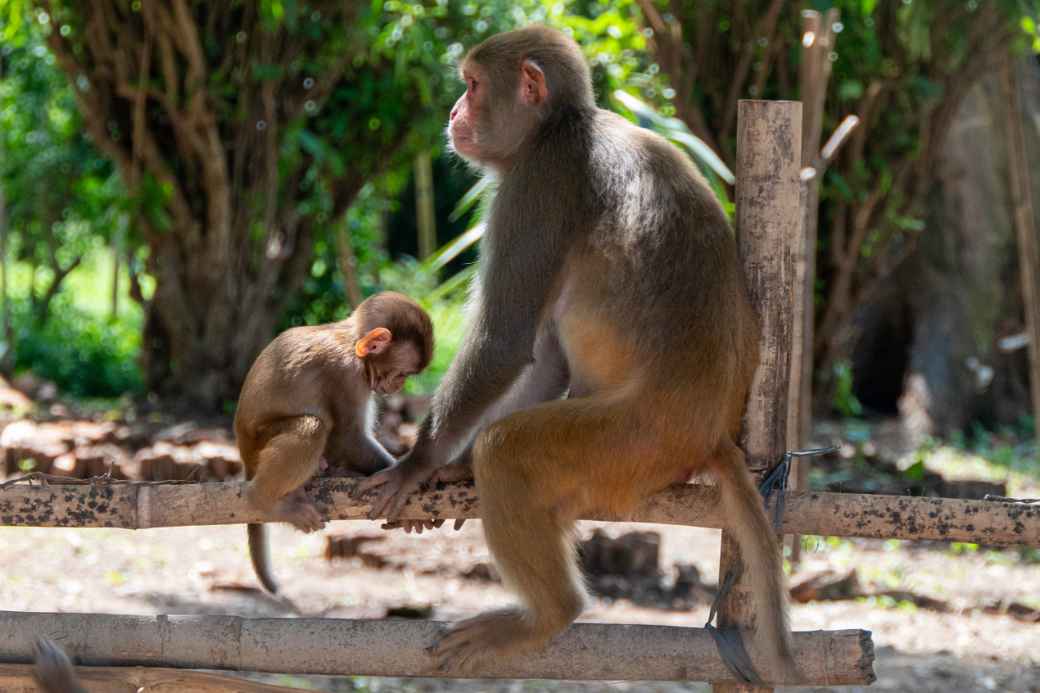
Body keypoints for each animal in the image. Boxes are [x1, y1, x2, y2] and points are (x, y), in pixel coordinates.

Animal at [235, 291, 434, 595]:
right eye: (403, 374)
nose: (399, 387)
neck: (350, 342)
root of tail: (244, 453)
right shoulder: (347, 376)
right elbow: (348, 438)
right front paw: (401, 481)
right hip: (260, 443)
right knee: (313, 426)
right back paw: (264, 499)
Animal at [356, 26, 799, 683]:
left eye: (472, 85)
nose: (454, 114)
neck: (560, 127)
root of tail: (713, 435)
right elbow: (542, 355)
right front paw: (451, 466)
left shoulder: (536, 185)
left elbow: (506, 339)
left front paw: (420, 460)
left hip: (631, 443)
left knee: (512, 451)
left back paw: (548, 614)